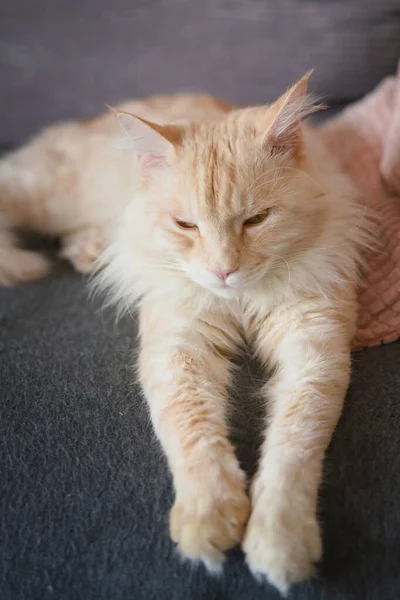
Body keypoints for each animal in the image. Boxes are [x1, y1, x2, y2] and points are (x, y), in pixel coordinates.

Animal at [96, 72, 368, 592]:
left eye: (256, 219)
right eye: (186, 225)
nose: (223, 271)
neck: (239, 303)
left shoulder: (313, 347)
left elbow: (292, 450)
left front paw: (279, 540)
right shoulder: (177, 346)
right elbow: (193, 436)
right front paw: (208, 518)